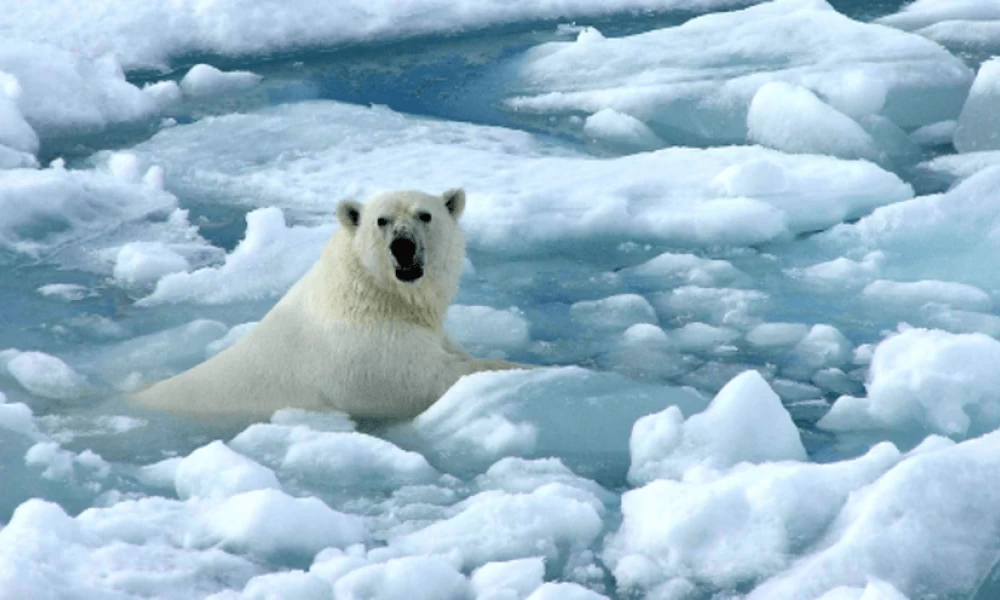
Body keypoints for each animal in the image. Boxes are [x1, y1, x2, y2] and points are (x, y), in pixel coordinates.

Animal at [133, 190, 532, 420]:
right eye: (381, 220)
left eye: (425, 215)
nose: (403, 246)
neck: (375, 295)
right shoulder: (366, 353)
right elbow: (428, 380)